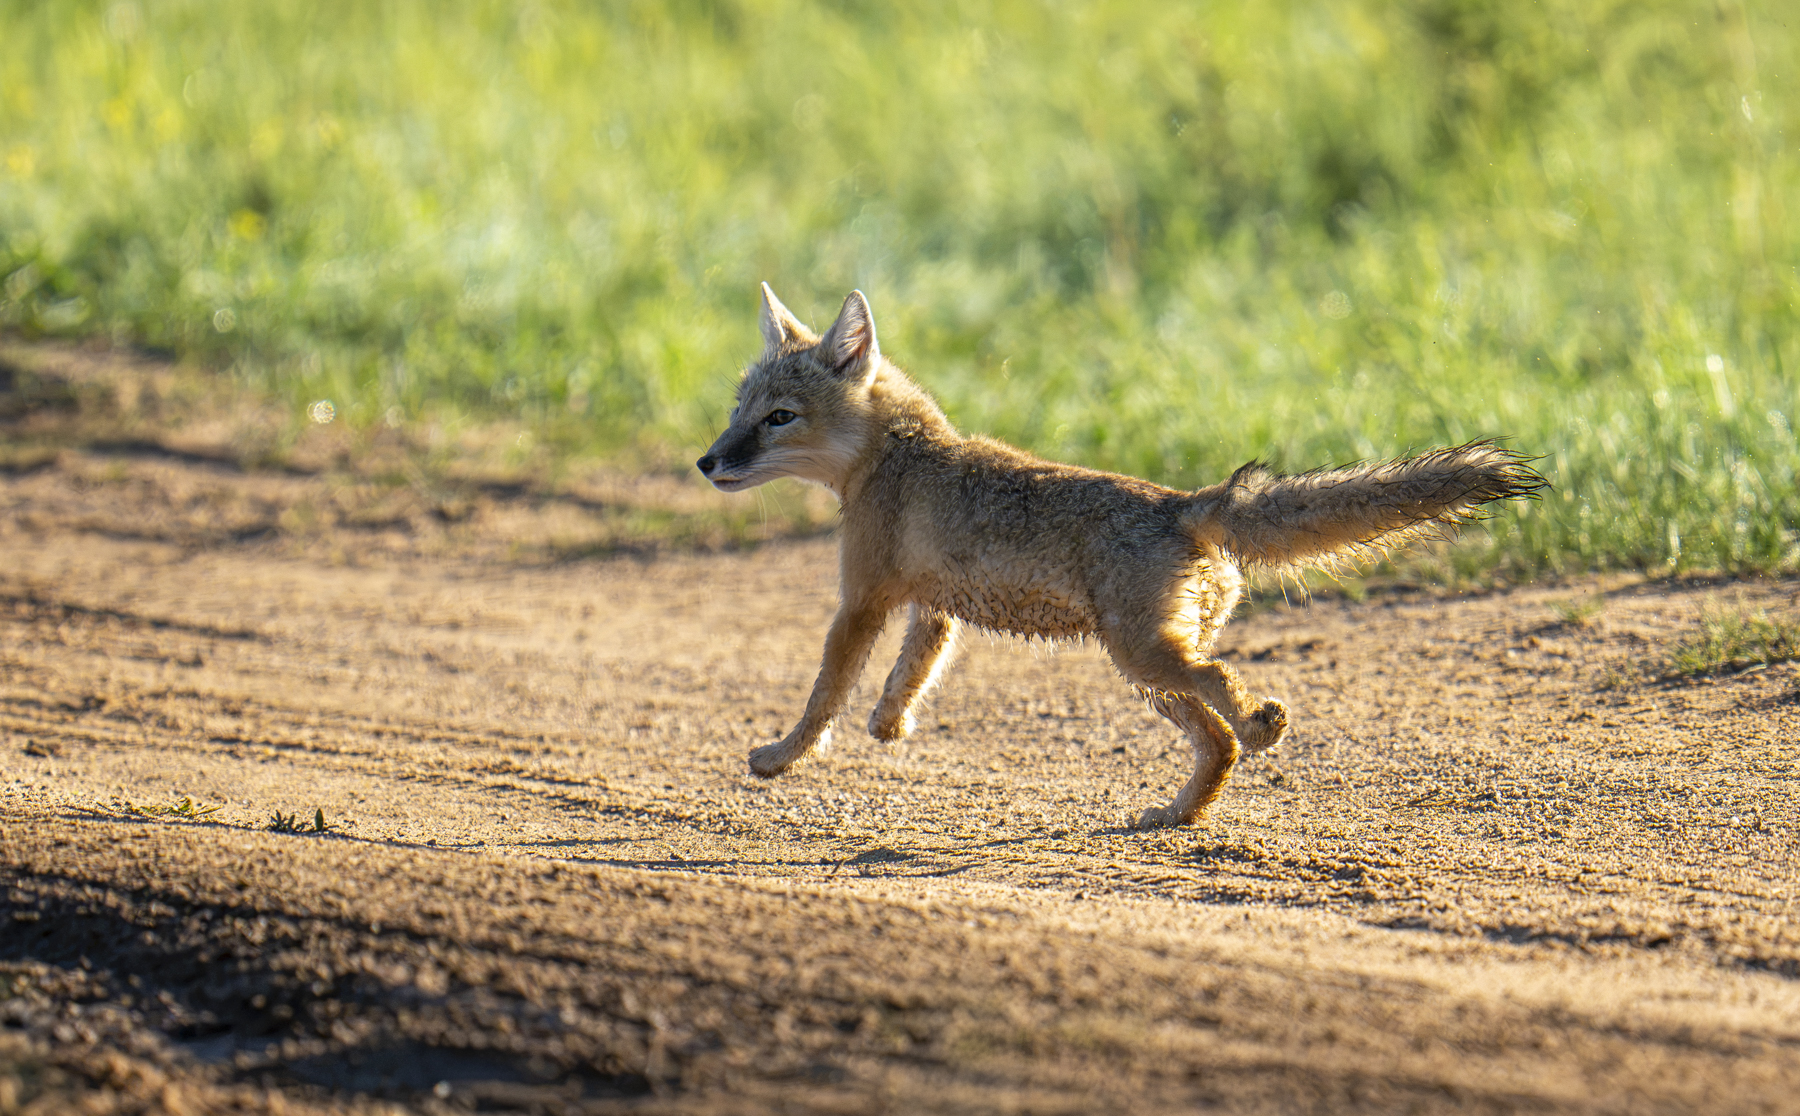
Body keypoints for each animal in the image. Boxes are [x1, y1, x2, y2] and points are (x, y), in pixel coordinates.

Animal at [698, 285, 1547, 827]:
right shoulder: (931, 607)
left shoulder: (861, 598)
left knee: (1227, 698)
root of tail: (1184, 501)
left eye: (779, 418)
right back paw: (1175, 814)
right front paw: (889, 725)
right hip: (1147, 668)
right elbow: (913, 670)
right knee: (1217, 740)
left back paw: (1262, 725)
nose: (708, 461)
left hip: (1142, 657)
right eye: (738, 410)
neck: (899, 452)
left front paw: (782, 757)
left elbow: (822, 694)